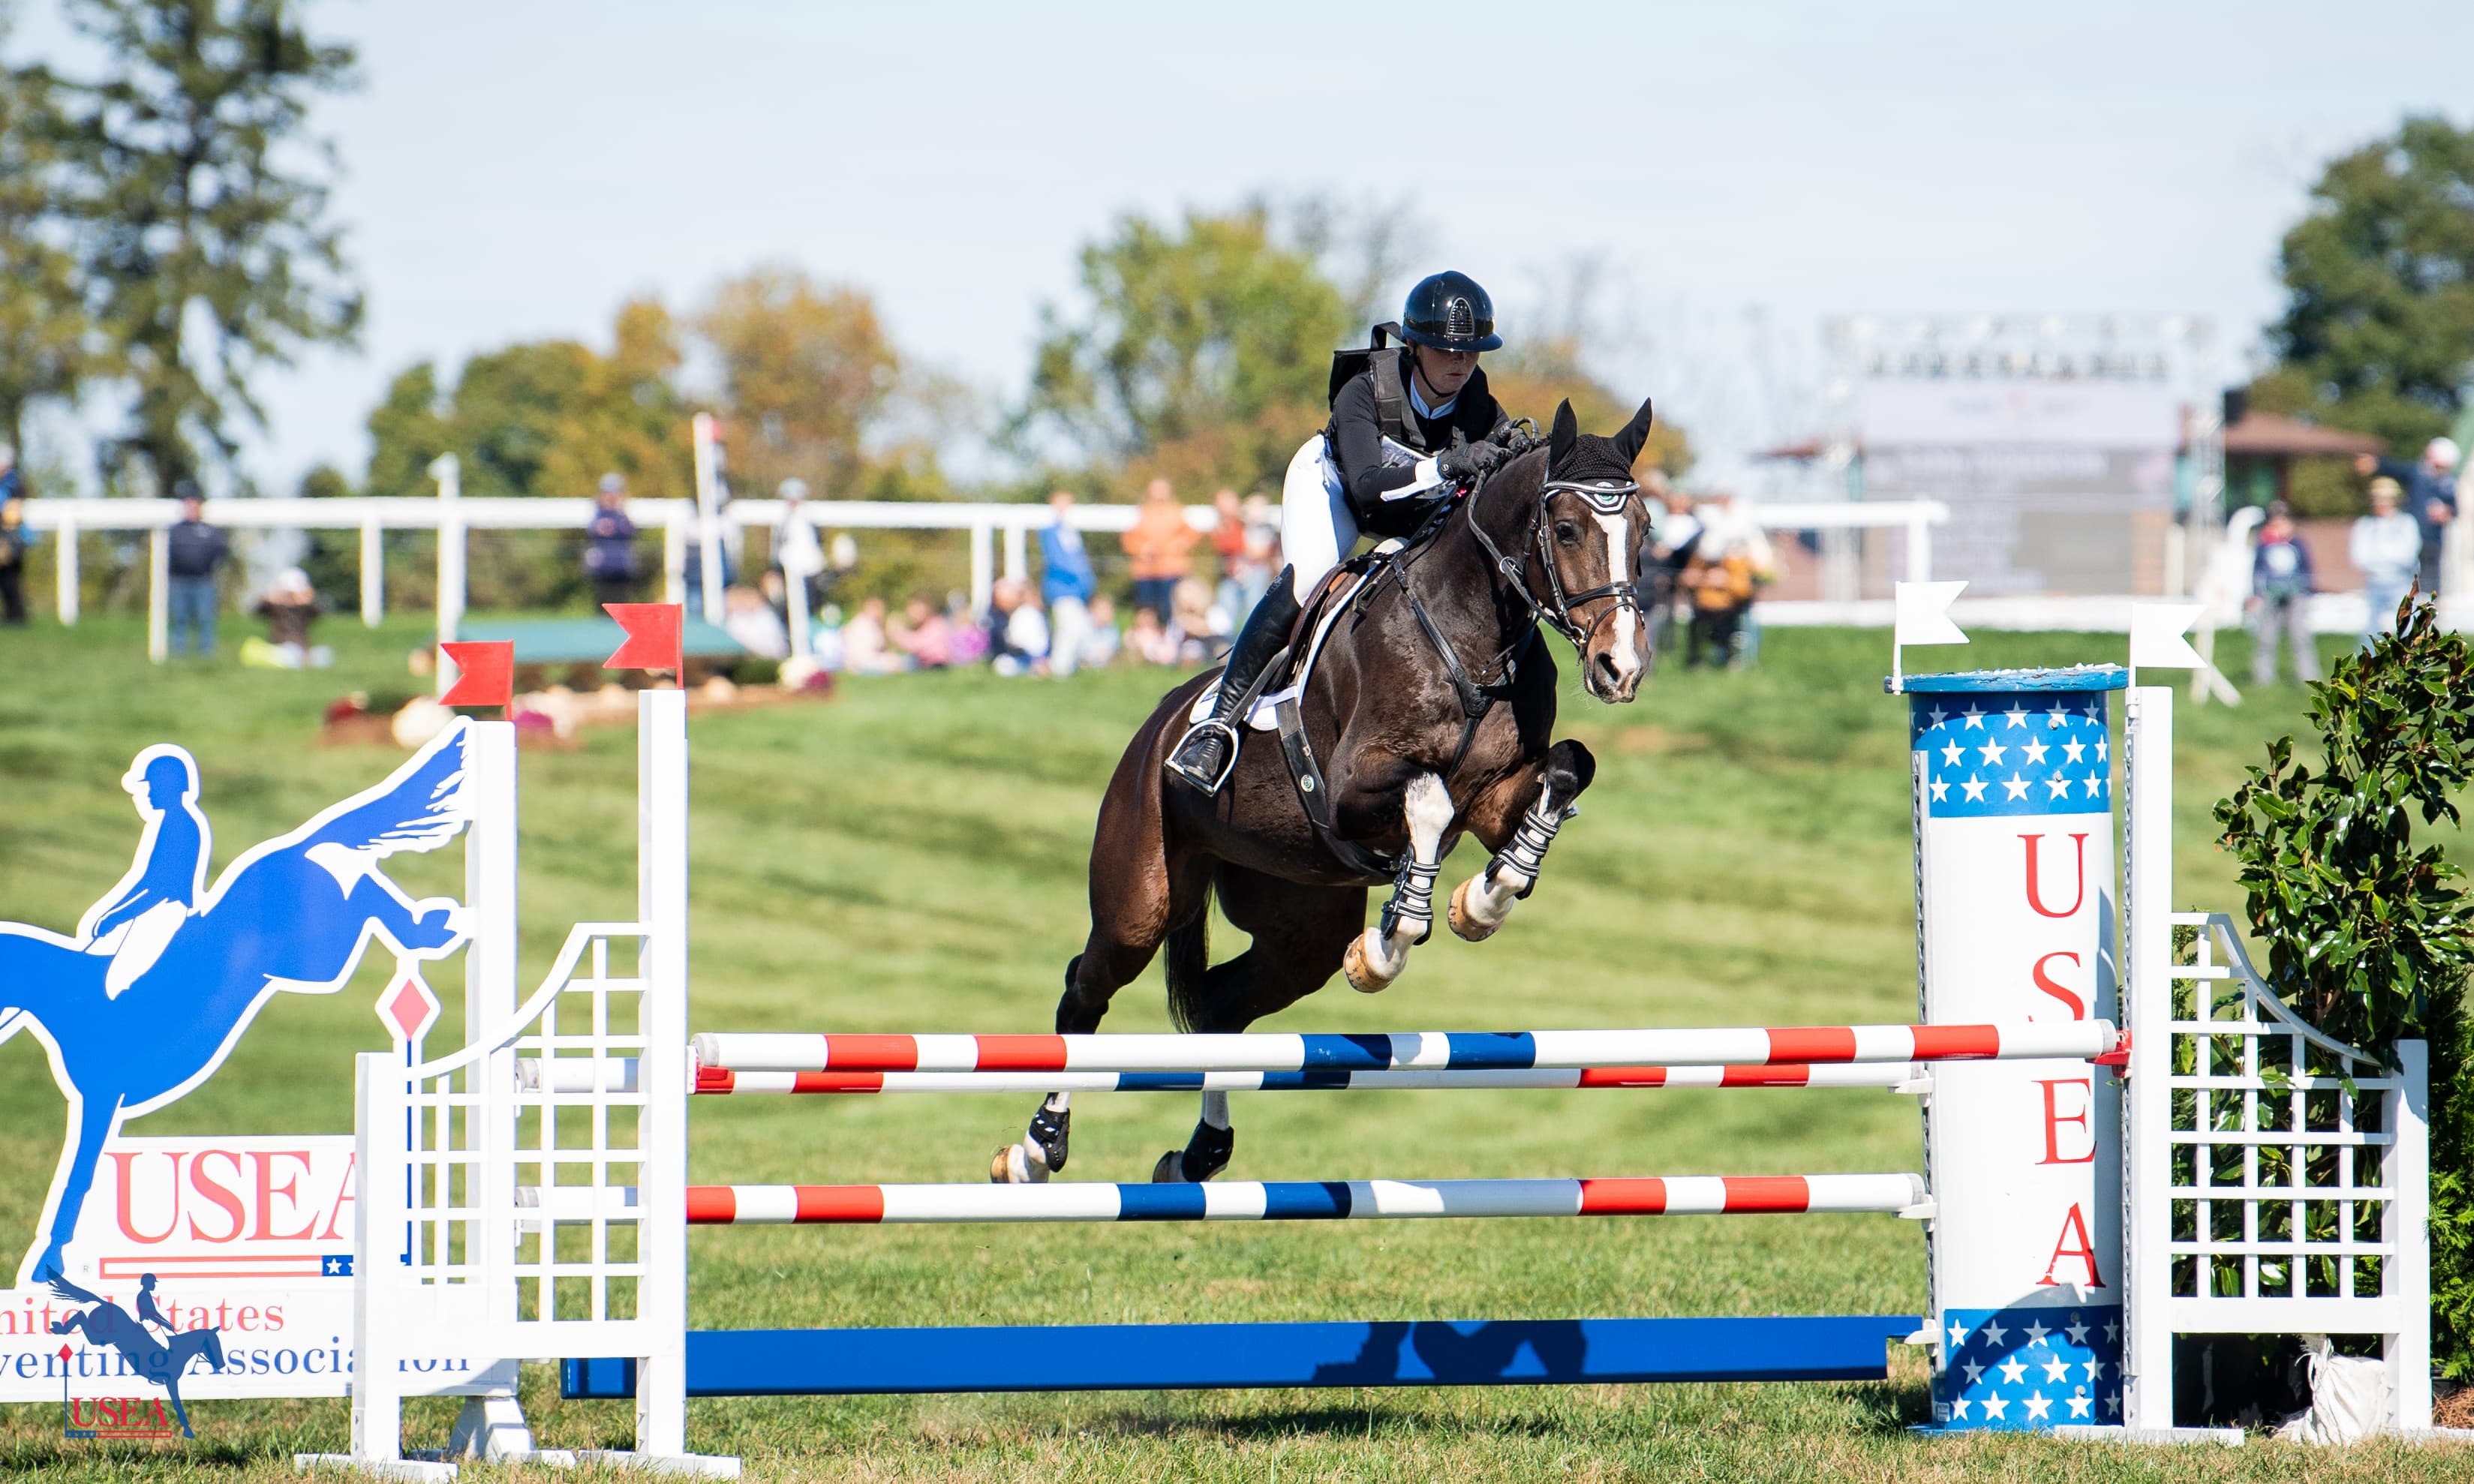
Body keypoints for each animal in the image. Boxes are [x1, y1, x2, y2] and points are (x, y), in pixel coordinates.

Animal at [995, 397, 1657, 1186]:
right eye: (1566, 530)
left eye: (1644, 529)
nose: (1621, 667)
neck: (1471, 637)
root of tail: (1156, 726)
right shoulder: (1351, 790)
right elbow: (1428, 801)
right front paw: (1393, 939)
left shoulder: (1495, 798)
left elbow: (1564, 771)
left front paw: (1482, 900)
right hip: (1141, 896)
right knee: (1085, 992)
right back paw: (1036, 1147)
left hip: (1302, 925)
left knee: (1220, 1008)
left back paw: (1199, 1154)